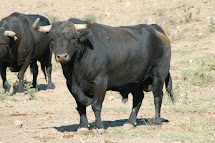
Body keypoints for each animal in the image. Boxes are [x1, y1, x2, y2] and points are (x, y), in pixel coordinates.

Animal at [33, 17, 175, 133]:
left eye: (73, 37)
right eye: (52, 39)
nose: (62, 56)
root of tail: (156, 29)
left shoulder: (100, 82)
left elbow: (96, 105)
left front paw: (99, 127)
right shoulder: (71, 85)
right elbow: (81, 104)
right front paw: (83, 126)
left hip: (158, 76)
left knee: (158, 97)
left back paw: (156, 121)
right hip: (136, 81)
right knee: (138, 98)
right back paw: (129, 122)